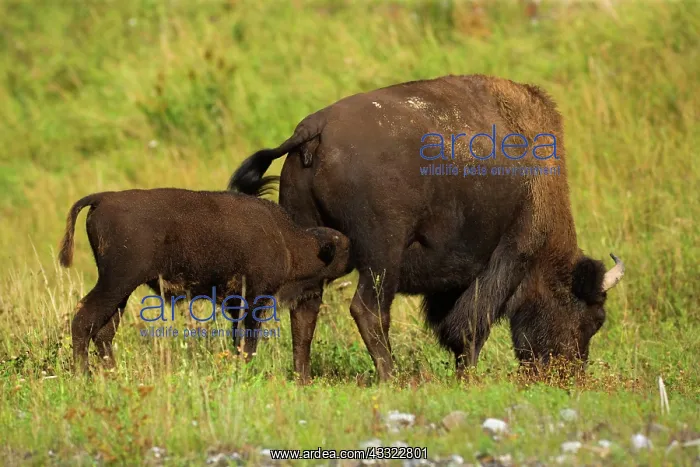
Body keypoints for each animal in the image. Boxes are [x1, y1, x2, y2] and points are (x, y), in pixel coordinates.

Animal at [228, 74, 625, 383]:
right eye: (591, 320)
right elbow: (470, 326)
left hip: (312, 243)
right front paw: (468, 378)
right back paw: (391, 378)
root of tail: (314, 130)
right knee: (368, 310)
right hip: (382, 255)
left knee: (305, 308)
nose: (569, 375)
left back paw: (304, 378)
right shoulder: (507, 258)